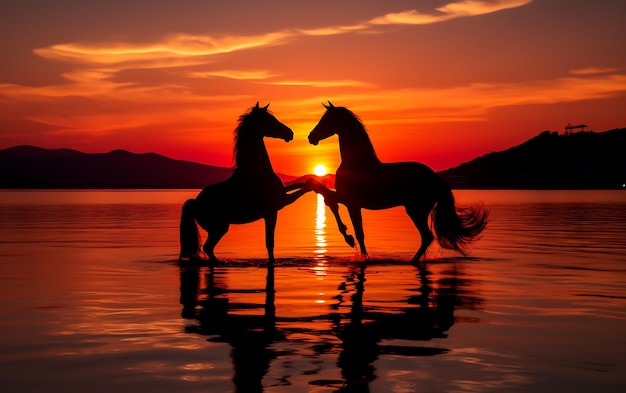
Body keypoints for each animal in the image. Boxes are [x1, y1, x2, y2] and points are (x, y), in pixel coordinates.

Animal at [180, 102, 314, 264]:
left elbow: (298, 185)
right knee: (207, 248)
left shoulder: (281, 197)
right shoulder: (278, 206)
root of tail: (195, 203)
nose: (290, 133)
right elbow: (270, 244)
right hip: (219, 228)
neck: (256, 172)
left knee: (208, 249)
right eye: (269, 120)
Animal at [308, 101, 488, 260]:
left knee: (427, 237)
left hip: (416, 210)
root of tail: (437, 179)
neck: (356, 163)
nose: (311, 137)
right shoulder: (352, 203)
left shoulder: (351, 201)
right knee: (427, 237)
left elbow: (351, 224)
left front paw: (352, 242)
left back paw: (413, 260)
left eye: (327, 119)